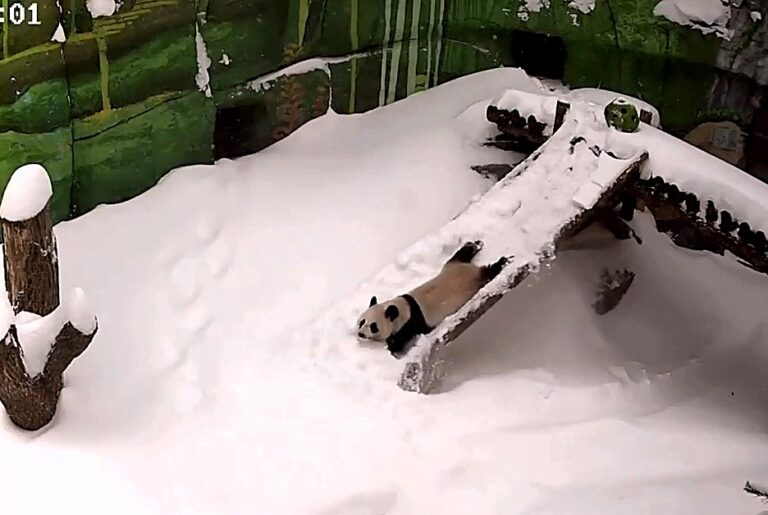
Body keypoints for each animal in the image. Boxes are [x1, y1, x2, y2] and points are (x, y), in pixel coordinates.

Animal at [356, 240, 509, 356]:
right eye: (362, 321)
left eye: (374, 326)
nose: (361, 334)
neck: (401, 307)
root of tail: (471, 269)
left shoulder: (410, 324)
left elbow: (399, 341)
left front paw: (391, 346)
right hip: (451, 266)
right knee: (459, 256)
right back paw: (474, 245)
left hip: (474, 281)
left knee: (486, 273)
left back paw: (501, 263)